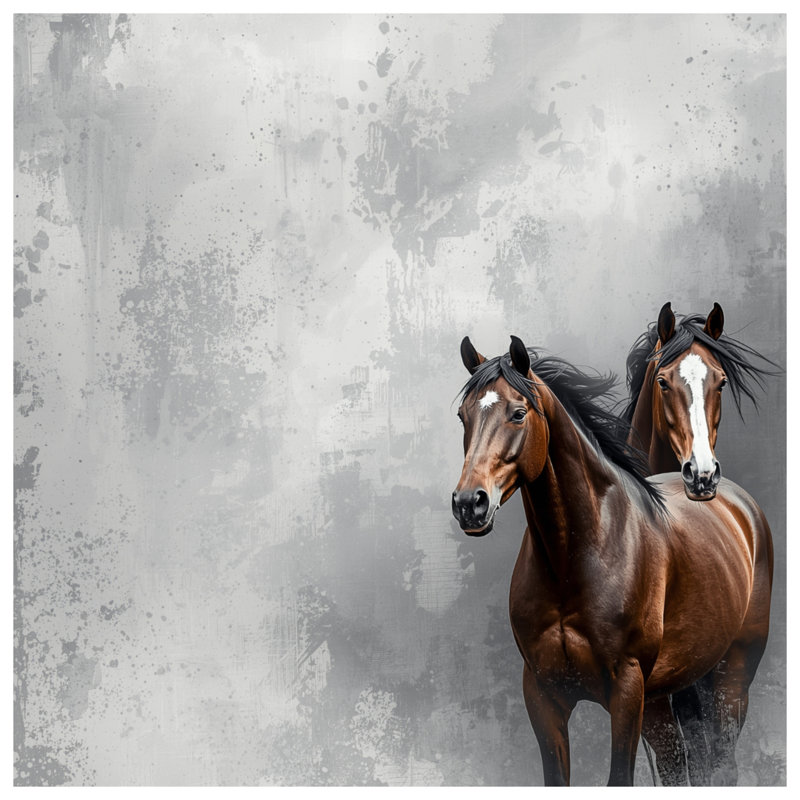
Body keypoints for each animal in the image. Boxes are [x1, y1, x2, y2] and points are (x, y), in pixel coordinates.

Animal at [451, 336, 773, 786]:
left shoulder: (626, 692)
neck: (573, 560)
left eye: (518, 413)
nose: (469, 504)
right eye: (463, 416)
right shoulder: (543, 695)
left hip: (733, 678)